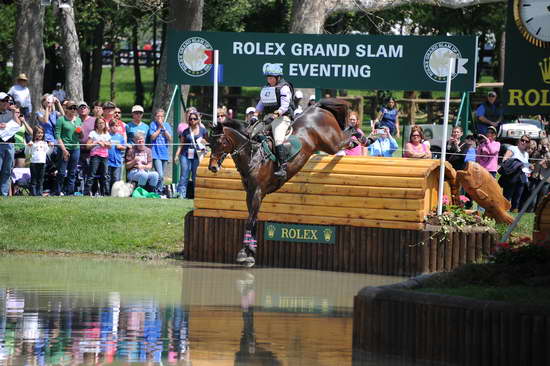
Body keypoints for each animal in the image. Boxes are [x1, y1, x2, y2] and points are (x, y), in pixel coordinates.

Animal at [208, 98, 358, 268]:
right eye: (209, 142)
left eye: (221, 142)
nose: (212, 167)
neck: (252, 154)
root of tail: (316, 107)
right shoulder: (251, 193)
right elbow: (253, 219)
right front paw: (251, 253)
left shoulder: (258, 191)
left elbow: (250, 220)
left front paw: (243, 253)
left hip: (332, 143)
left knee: (348, 134)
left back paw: (362, 137)